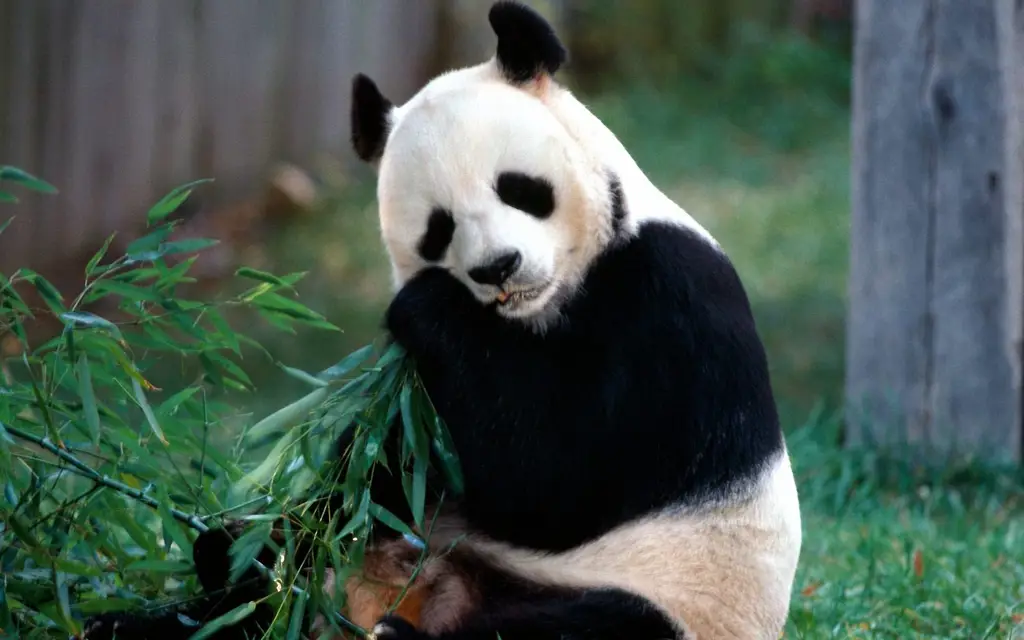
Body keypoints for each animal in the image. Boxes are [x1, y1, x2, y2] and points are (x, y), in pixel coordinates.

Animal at [79, 2, 798, 634]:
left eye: (519, 188)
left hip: (675, 595)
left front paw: (427, 305)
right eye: (438, 228)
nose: (498, 268)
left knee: (590, 626)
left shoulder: (666, 305)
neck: (539, 310)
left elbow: (556, 478)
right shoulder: (422, 402)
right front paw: (239, 546)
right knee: (263, 601)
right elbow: (383, 471)